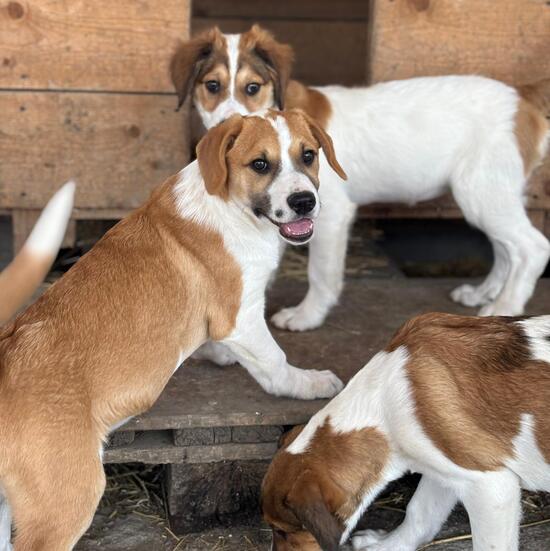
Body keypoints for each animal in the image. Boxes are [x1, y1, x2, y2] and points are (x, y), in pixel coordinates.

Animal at [0, 110, 346, 550]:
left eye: (308, 155)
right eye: (260, 164)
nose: (304, 202)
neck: (229, 205)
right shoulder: (242, 317)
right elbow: (275, 362)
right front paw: (309, 384)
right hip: (64, 502)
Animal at [171, 25, 550, 331]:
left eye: (252, 87)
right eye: (212, 86)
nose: (232, 131)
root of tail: (521, 96)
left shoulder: (330, 213)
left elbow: (320, 273)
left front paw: (306, 316)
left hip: (481, 192)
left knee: (532, 246)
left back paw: (504, 305)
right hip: (493, 193)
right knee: (506, 248)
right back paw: (483, 293)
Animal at [261, 312, 550, 550]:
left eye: (282, 531)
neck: (382, 404)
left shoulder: (491, 487)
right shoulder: (446, 471)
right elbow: (419, 511)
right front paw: (387, 546)